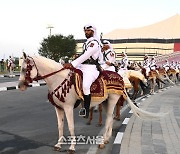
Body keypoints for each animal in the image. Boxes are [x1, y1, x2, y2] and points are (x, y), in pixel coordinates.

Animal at [18, 52, 167, 153]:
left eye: (25, 69)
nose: (20, 86)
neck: (58, 79)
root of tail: (119, 76)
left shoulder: (68, 107)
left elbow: (71, 127)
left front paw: (72, 147)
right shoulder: (58, 108)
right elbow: (60, 127)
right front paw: (58, 145)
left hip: (112, 100)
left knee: (109, 118)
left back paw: (102, 142)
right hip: (106, 102)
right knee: (110, 119)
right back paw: (106, 139)